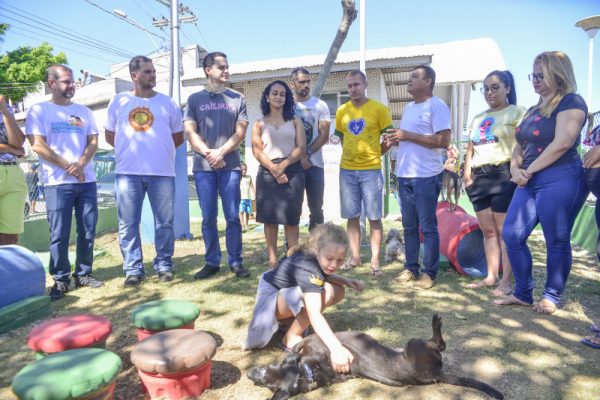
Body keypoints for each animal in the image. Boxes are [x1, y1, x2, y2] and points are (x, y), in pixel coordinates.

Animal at [246, 316, 504, 400]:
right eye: (266, 382)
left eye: (266, 371)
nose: (249, 374)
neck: (308, 371)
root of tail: (439, 374)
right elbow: (297, 346)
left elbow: (296, 346)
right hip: (416, 344)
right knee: (440, 343)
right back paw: (436, 324)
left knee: (441, 343)